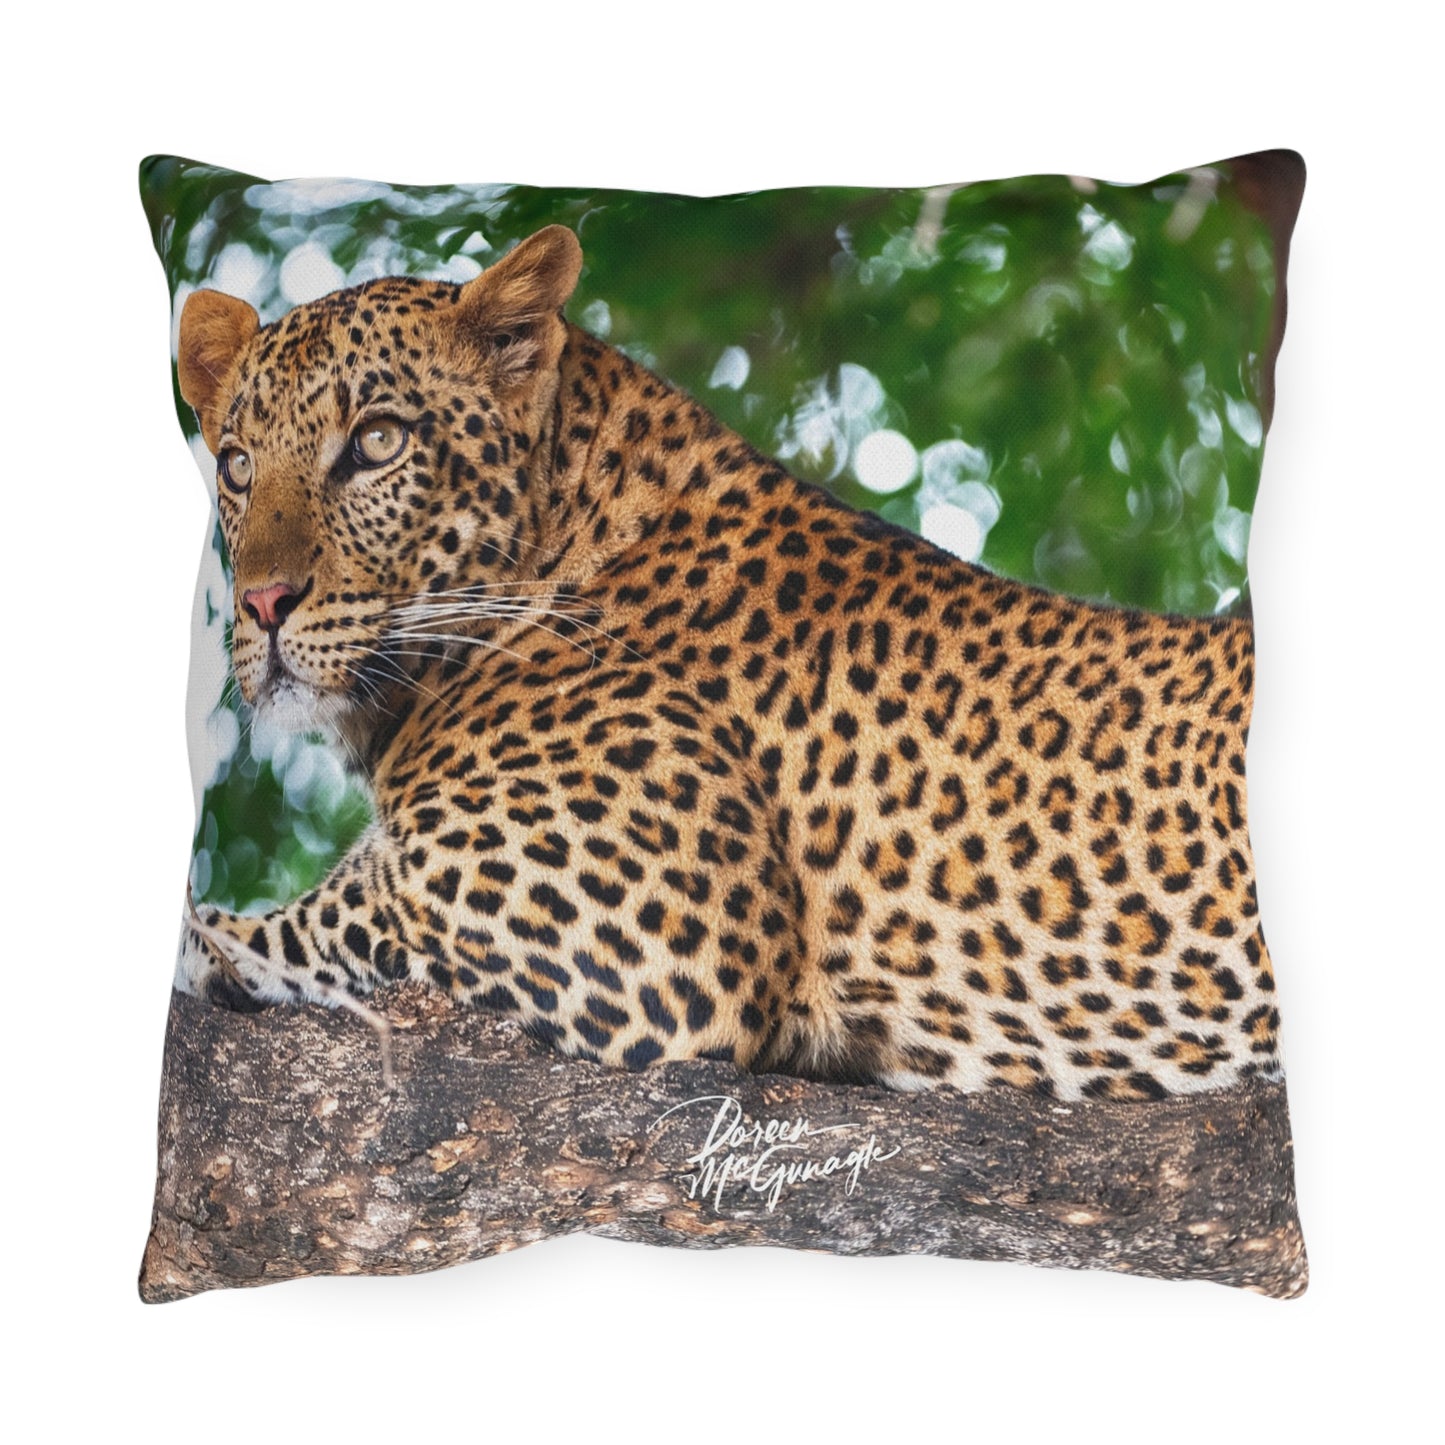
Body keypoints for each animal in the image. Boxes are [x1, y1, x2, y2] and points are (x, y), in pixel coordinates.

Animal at [173, 223, 1283, 1101]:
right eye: (236, 465)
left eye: (376, 442)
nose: (263, 603)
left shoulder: (634, 931)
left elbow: (286, 925)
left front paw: (199, 941)